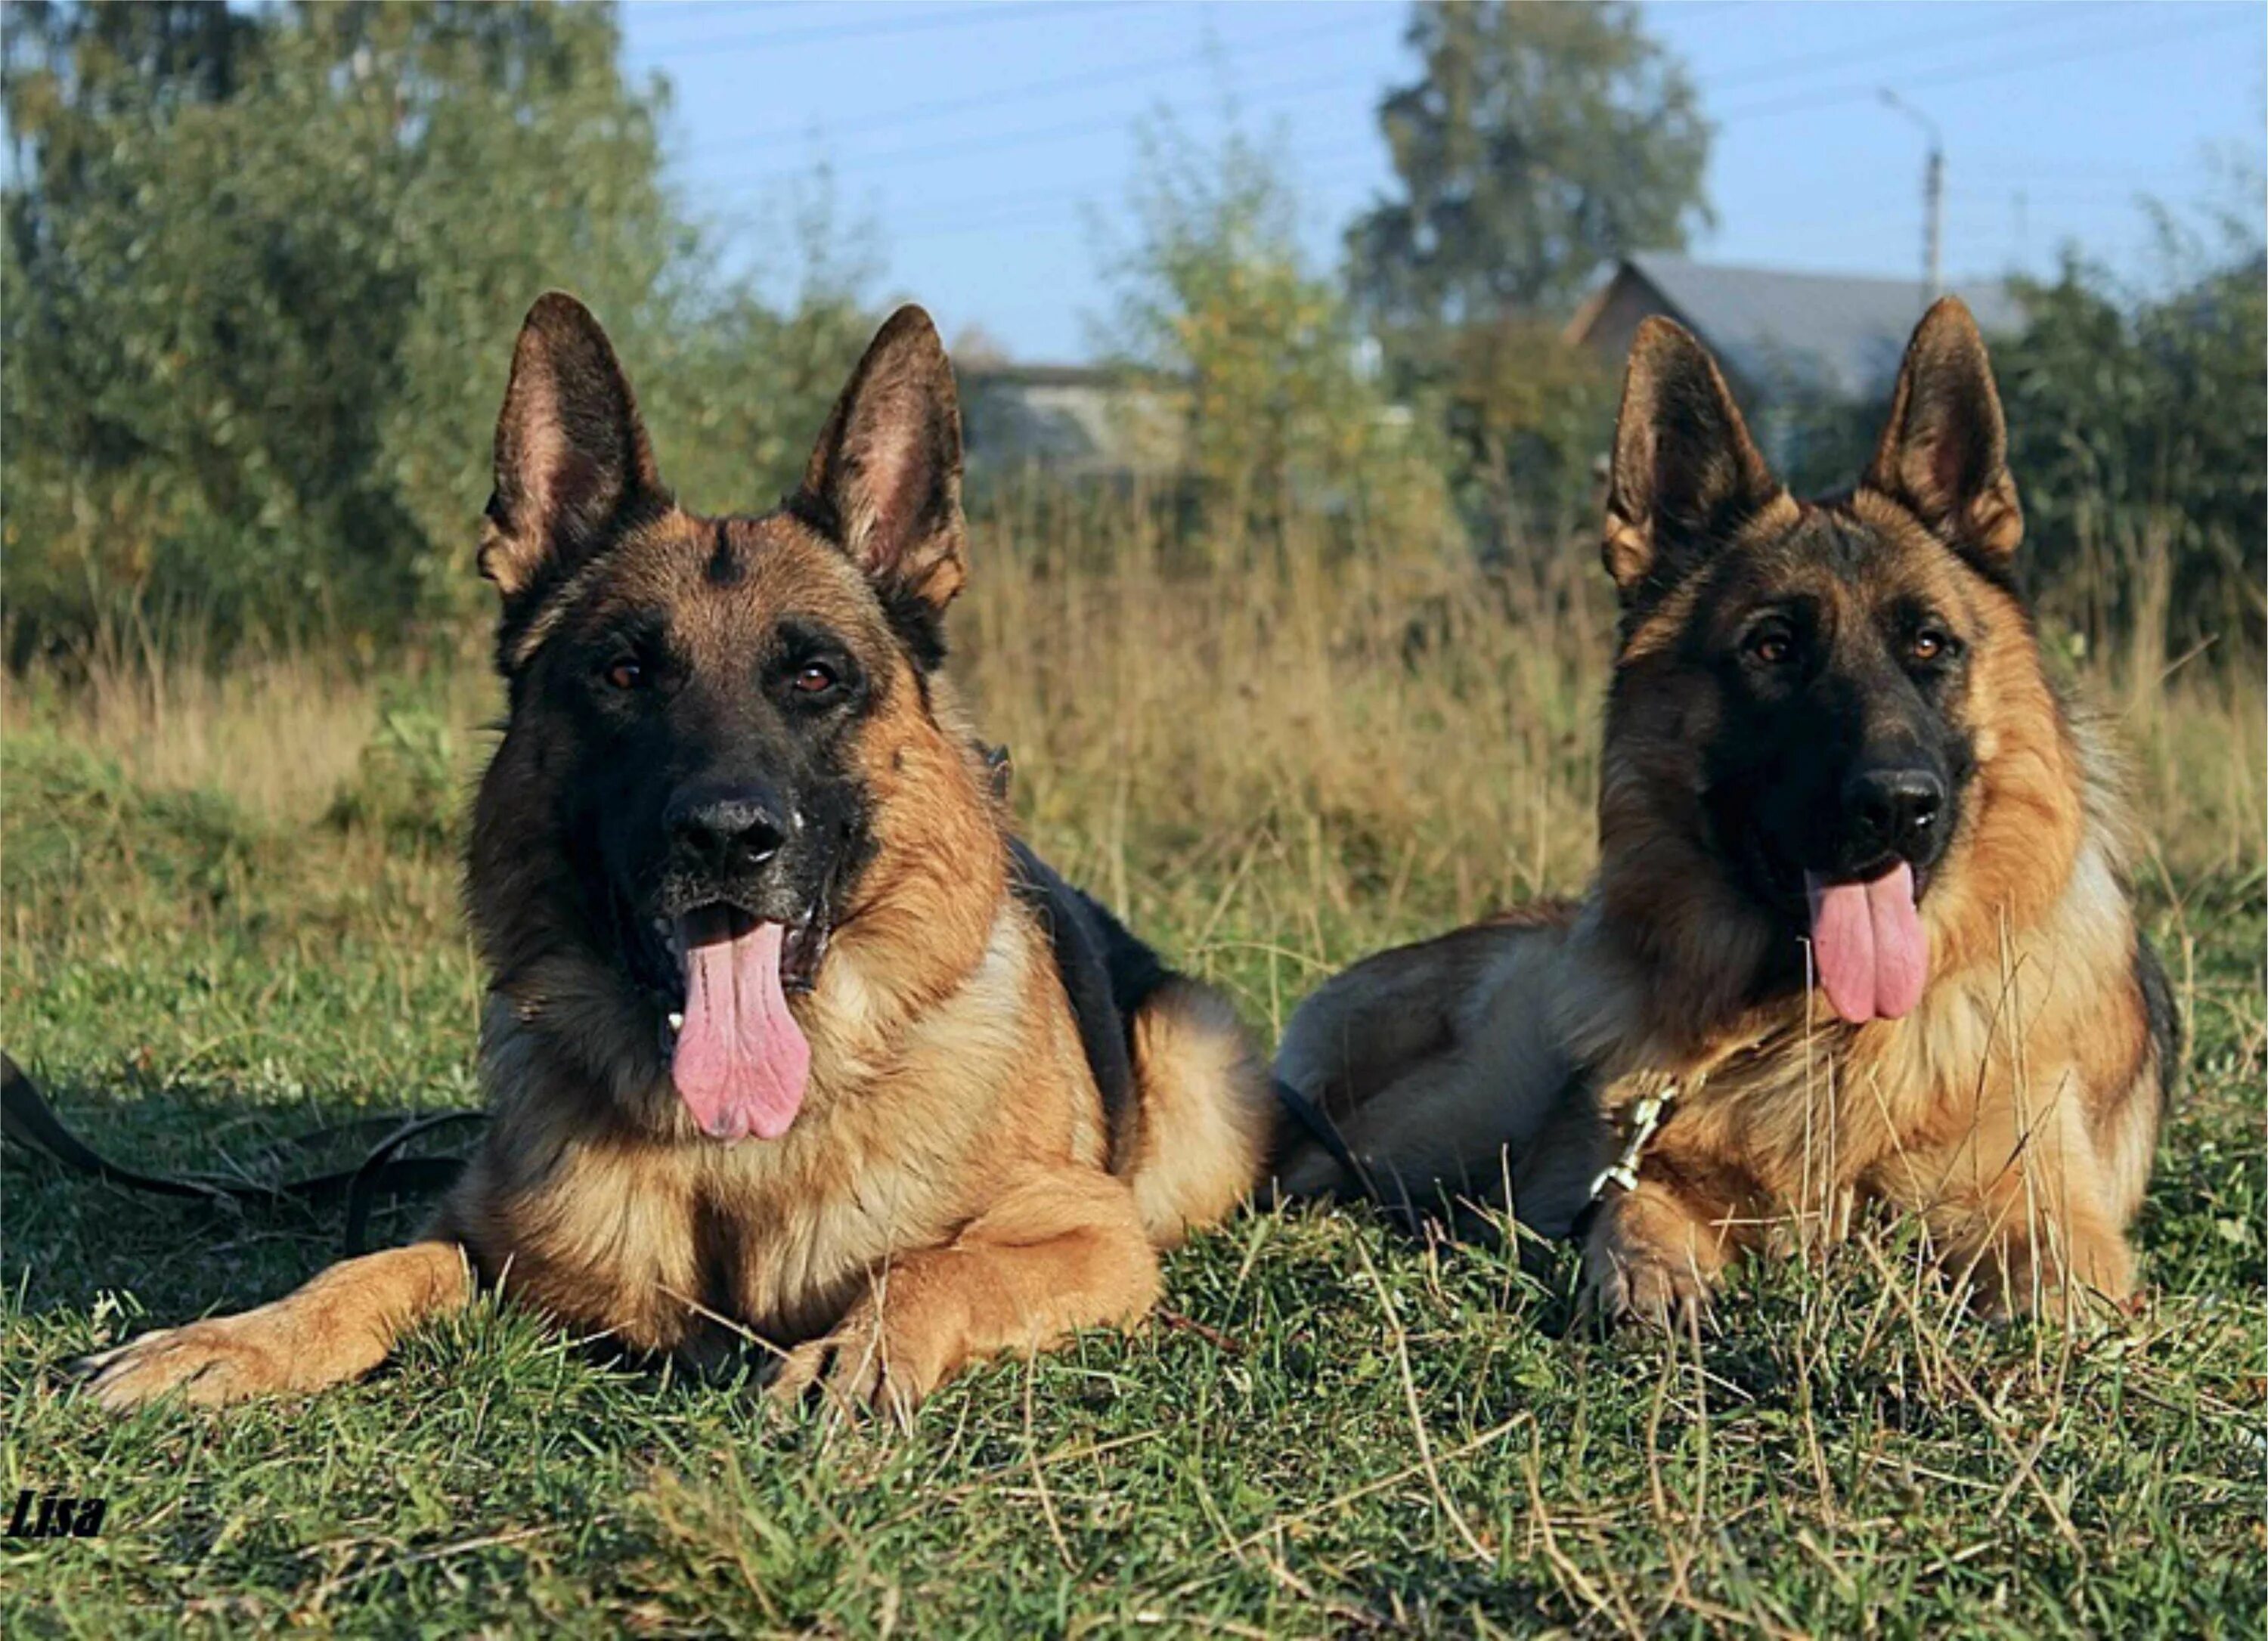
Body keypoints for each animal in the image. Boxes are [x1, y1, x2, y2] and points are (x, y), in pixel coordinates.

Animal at [88, 292, 1279, 1414]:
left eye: (815, 676)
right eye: (624, 673)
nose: (726, 836)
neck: (729, 1160)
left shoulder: (1086, 1232)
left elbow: (933, 1267)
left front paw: (859, 1349)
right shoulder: (478, 1237)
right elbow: (369, 1264)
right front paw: (235, 1338)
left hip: (1192, 1065)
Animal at [1279, 294, 2177, 1324]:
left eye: (1929, 643)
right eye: (1772, 647)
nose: (1896, 806)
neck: (1818, 1033)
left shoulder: (2051, 1216)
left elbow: (2058, 1287)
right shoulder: (1648, 1165)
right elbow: (1634, 1213)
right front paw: (1650, 1280)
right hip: (1461, 1104)